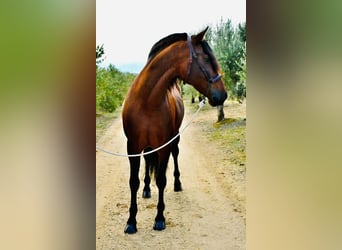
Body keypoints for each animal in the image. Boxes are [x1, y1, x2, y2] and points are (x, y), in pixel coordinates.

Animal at [121, 27, 226, 234]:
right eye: (206, 58)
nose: (223, 95)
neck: (147, 101)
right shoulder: (133, 147)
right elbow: (133, 182)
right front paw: (131, 221)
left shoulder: (164, 146)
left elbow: (162, 180)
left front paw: (160, 219)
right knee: (147, 164)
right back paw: (146, 189)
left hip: (174, 138)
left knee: (175, 156)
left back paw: (177, 184)